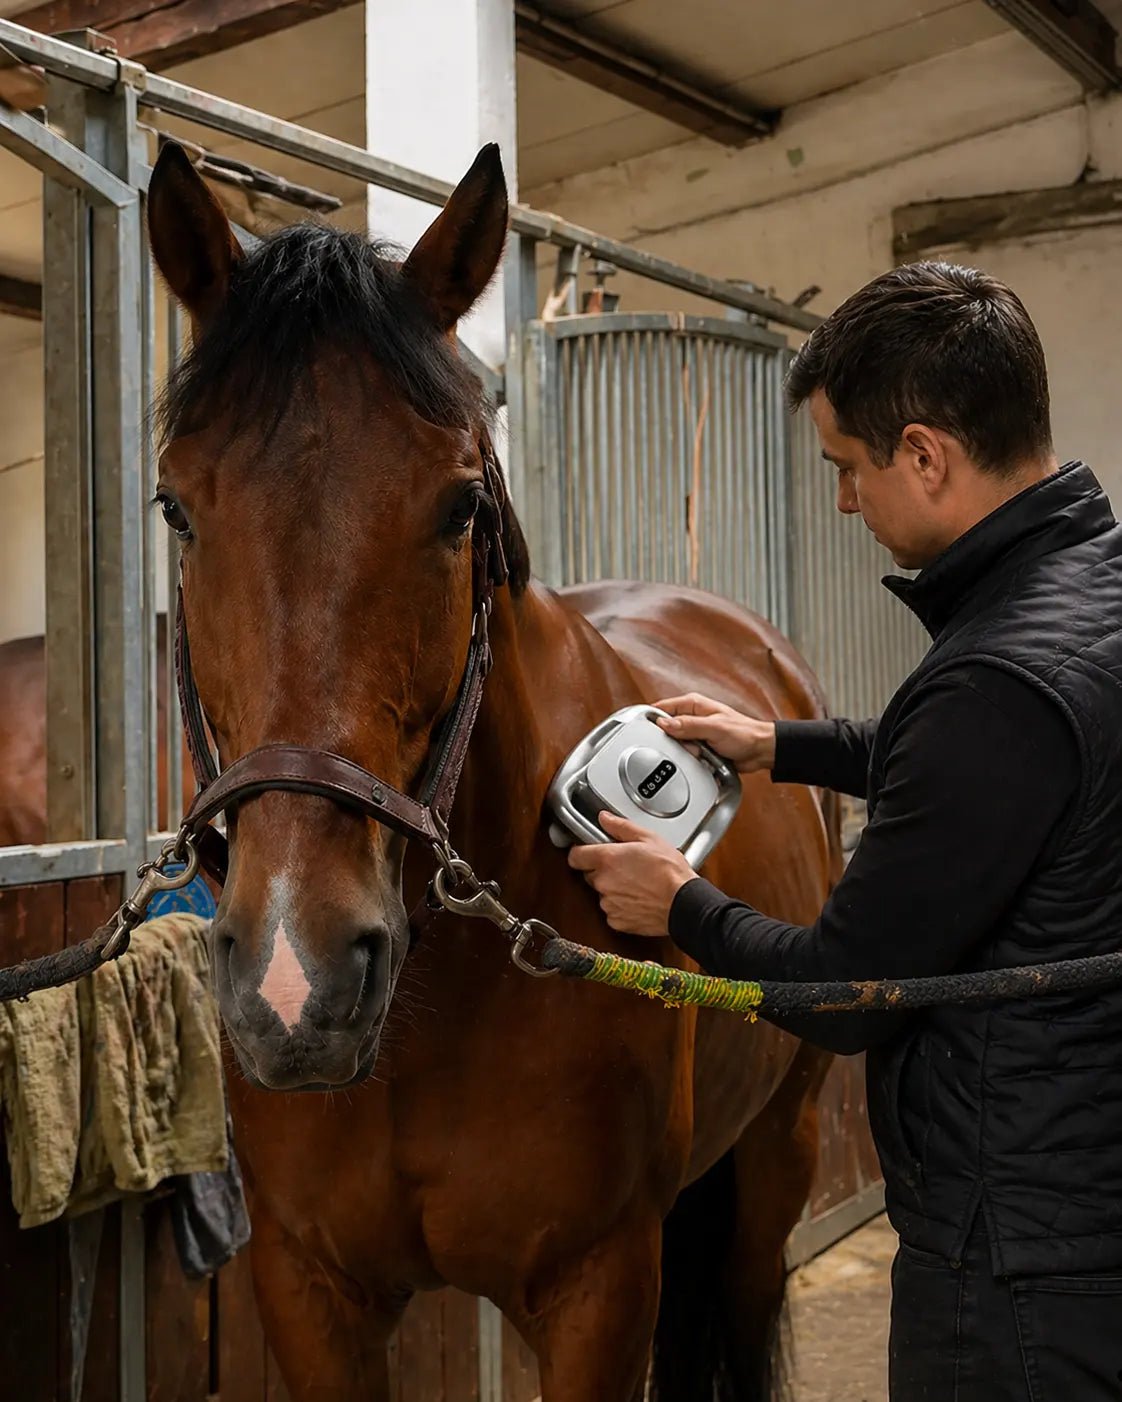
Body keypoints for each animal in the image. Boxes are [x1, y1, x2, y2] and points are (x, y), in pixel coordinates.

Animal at [1, 138, 839, 1400]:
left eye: (459, 505)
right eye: (175, 507)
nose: (296, 980)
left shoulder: (600, 1290)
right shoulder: (310, 1288)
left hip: (778, 1153)